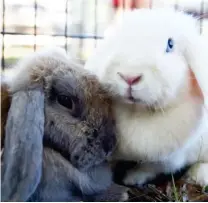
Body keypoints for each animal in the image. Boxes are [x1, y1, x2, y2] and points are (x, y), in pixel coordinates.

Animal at [84, 8, 208, 187]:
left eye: (170, 45)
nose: (130, 77)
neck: (137, 112)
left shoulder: (168, 158)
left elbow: (150, 168)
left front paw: (131, 178)